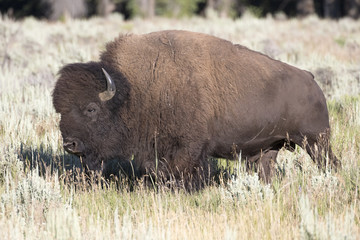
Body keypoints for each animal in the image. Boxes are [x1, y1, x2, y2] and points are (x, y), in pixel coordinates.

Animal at [52, 30, 338, 188]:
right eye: (59, 110)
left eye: (91, 109)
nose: (70, 145)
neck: (135, 88)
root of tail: (311, 79)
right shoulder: (155, 149)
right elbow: (158, 171)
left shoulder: (188, 147)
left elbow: (180, 172)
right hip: (270, 148)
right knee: (267, 170)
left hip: (315, 141)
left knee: (330, 163)